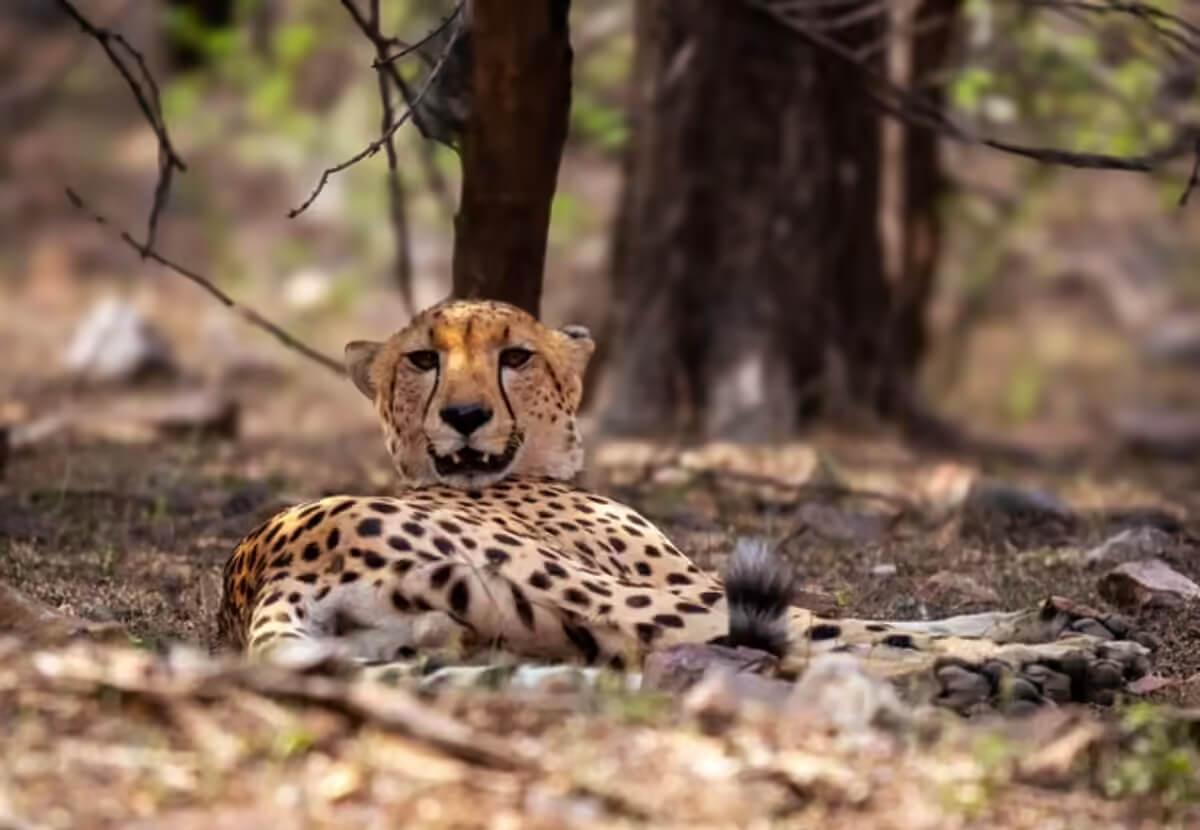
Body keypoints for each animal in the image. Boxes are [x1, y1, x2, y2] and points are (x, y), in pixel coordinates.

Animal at [218, 299, 1153, 711]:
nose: (466, 415)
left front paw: (1059, 615)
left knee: (741, 662)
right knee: (813, 645)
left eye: (515, 356)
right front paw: (1064, 631)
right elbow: (886, 621)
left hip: (517, 644)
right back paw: (1051, 669)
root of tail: (261, 569)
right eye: (422, 361)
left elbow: (914, 617)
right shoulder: (685, 584)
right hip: (617, 601)